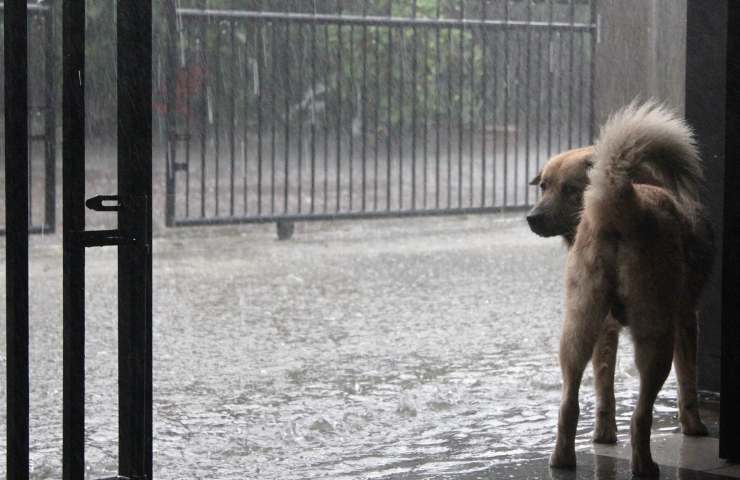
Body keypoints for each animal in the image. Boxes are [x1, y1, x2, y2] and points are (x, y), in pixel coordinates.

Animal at [524, 102, 712, 476]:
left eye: (569, 189)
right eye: (544, 186)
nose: (532, 218)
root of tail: (622, 201)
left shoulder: (605, 329)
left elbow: (604, 388)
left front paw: (603, 436)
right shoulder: (686, 320)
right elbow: (688, 382)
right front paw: (694, 427)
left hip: (577, 327)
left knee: (568, 403)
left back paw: (563, 459)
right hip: (656, 335)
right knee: (641, 415)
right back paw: (644, 465)